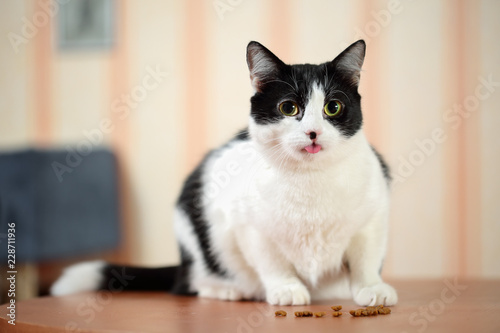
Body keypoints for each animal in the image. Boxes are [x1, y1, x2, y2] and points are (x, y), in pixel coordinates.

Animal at [49, 39, 394, 306]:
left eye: (333, 107)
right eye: (288, 108)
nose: (313, 132)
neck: (311, 181)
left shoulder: (374, 217)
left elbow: (366, 258)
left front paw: (372, 287)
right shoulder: (249, 227)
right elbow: (272, 261)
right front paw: (286, 288)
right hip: (194, 232)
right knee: (192, 284)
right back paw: (227, 290)